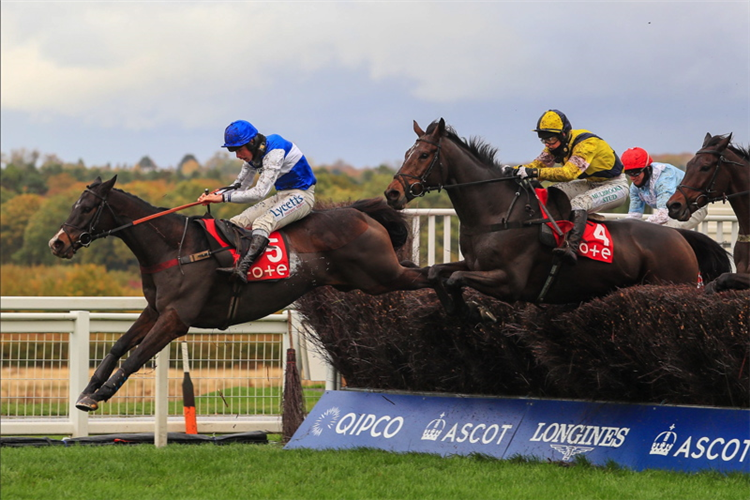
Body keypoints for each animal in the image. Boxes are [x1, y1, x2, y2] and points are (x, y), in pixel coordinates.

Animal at [50, 176, 432, 410]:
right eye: (73, 205)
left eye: (87, 208)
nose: (58, 243)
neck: (173, 248)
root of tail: (359, 214)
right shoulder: (156, 310)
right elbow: (118, 346)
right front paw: (88, 390)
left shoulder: (176, 318)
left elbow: (136, 356)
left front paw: (100, 394)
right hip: (367, 278)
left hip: (380, 275)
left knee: (427, 275)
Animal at [384, 120, 732, 316]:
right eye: (406, 153)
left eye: (424, 155)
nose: (392, 193)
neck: (498, 214)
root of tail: (680, 236)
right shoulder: (474, 264)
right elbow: (436, 273)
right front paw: (458, 309)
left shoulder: (510, 282)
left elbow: (455, 278)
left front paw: (473, 310)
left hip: (670, 279)